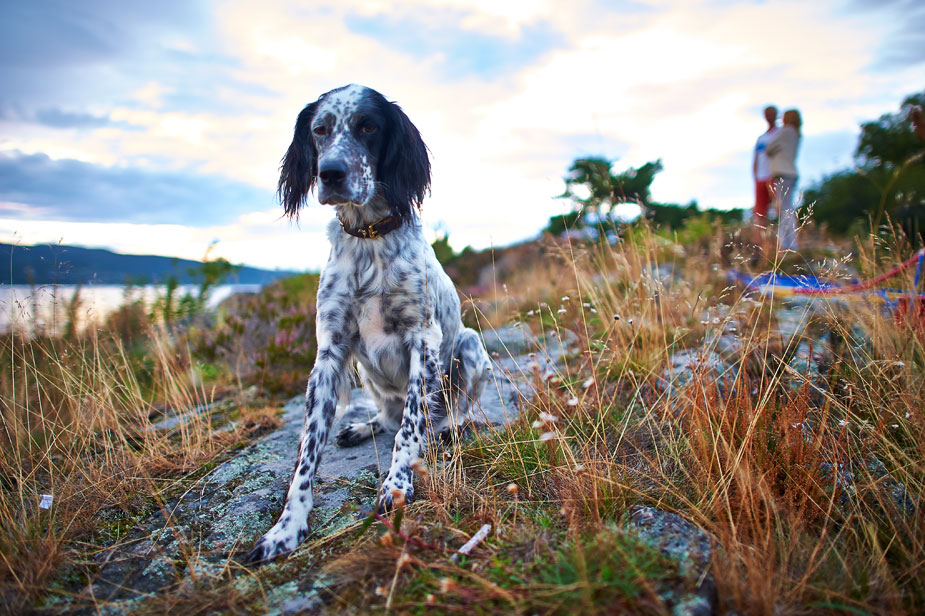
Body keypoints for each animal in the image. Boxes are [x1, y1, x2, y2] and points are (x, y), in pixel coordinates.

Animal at [245, 84, 490, 564]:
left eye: (368, 127)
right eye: (320, 130)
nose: (330, 173)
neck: (369, 237)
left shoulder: (423, 341)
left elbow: (411, 429)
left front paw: (396, 486)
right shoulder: (329, 352)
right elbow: (306, 453)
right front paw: (287, 527)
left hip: (470, 345)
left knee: (444, 413)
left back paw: (451, 428)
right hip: (364, 371)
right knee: (388, 416)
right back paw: (361, 427)